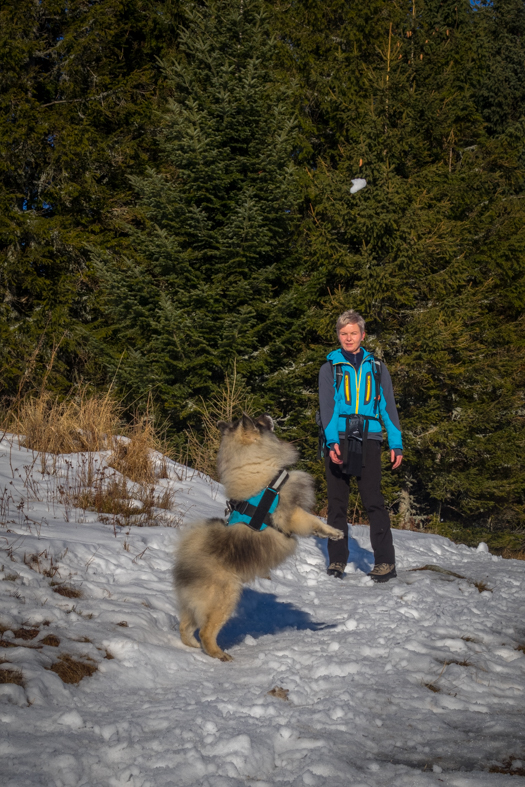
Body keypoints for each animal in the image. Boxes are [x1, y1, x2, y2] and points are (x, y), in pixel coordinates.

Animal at [174, 416, 342, 660]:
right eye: (257, 421)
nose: (267, 416)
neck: (259, 469)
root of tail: (187, 566)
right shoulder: (293, 514)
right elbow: (314, 522)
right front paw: (335, 533)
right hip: (225, 598)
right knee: (206, 631)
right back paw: (219, 654)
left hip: (194, 605)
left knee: (185, 626)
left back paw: (193, 646)